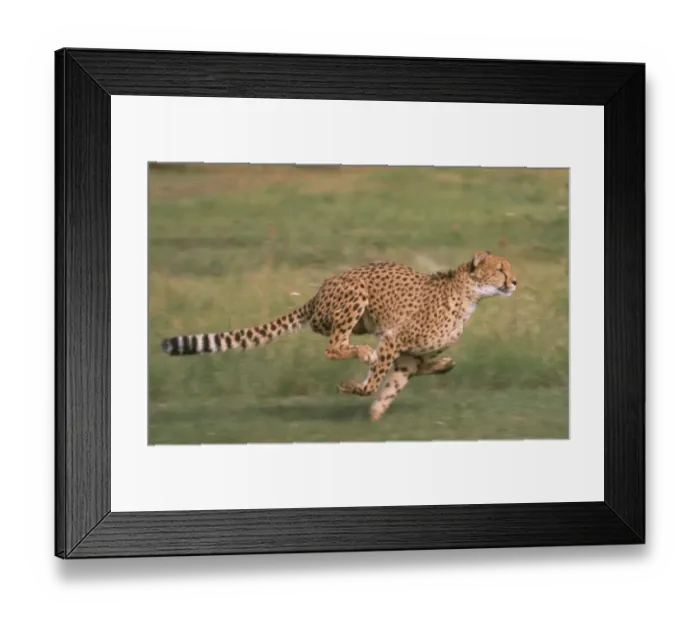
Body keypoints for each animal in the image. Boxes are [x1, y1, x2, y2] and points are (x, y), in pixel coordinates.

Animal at [161, 250, 517, 421]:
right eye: (501, 269)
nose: (515, 282)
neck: (470, 296)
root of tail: (318, 292)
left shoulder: (406, 355)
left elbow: (394, 383)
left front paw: (375, 414)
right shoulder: (392, 340)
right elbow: (375, 382)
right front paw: (352, 388)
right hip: (355, 296)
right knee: (333, 347)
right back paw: (362, 353)